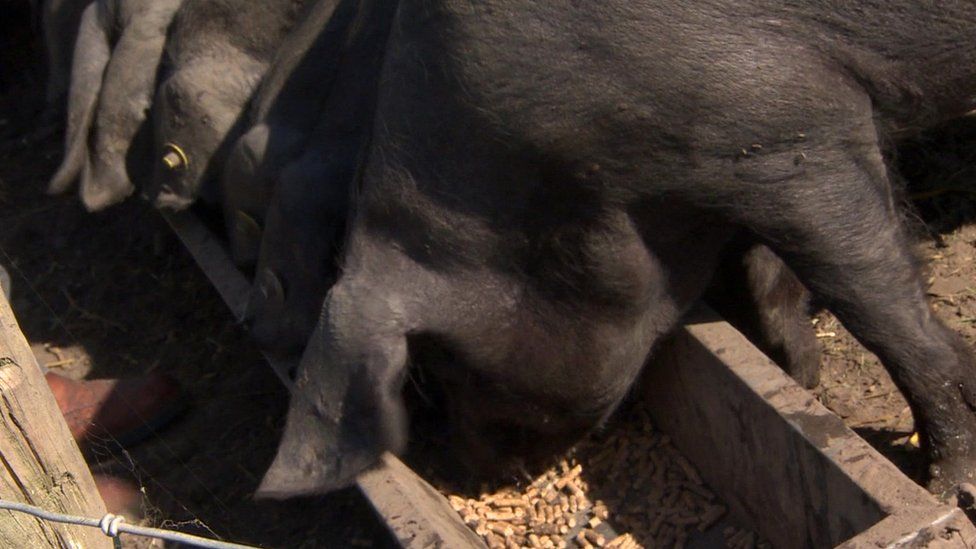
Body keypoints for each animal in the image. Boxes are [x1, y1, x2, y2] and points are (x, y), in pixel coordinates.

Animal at [258, 1, 976, 498]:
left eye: (442, 368)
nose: (467, 478)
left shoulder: (786, 126)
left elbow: (878, 303)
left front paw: (949, 487)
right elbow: (770, 273)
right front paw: (799, 373)